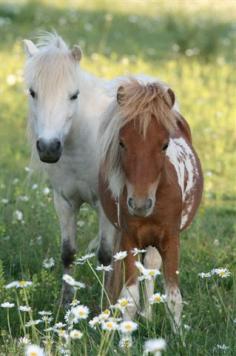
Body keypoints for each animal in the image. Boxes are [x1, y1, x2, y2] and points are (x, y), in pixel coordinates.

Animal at [98, 80, 204, 330]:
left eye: (164, 145)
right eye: (122, 142)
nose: (139, 204)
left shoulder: (171, 239)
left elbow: (174, 296)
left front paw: (178, 335)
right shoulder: (129, 239)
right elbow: (129, 296)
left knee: (151, 267)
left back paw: (147, 316)